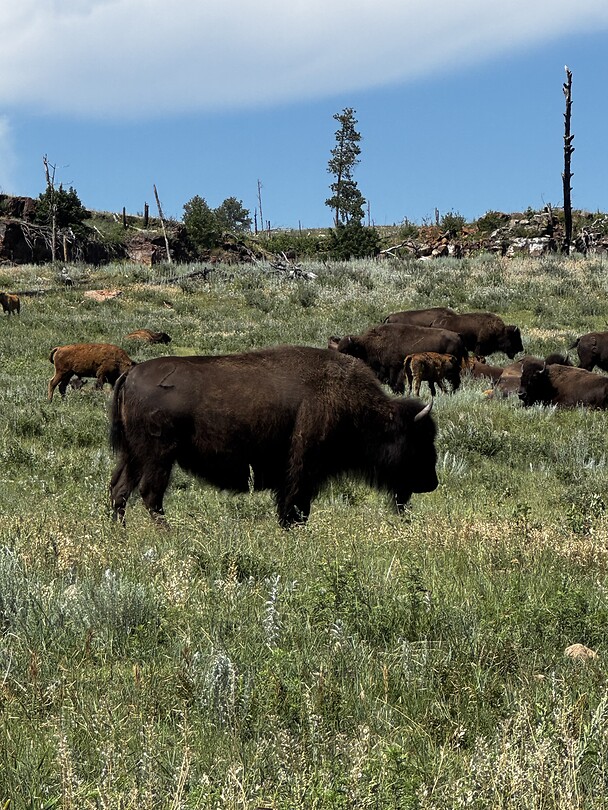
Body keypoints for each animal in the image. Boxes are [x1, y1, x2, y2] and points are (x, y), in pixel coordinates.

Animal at [109, 345, 438, 528]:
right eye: (417, 440)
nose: (431, 483)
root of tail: (131, 374)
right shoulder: (302, 470)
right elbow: (295, 507)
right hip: (158, 456)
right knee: (150, 495)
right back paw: (170, 534)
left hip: (133, 455)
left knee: (119, 490)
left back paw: (119, 534)